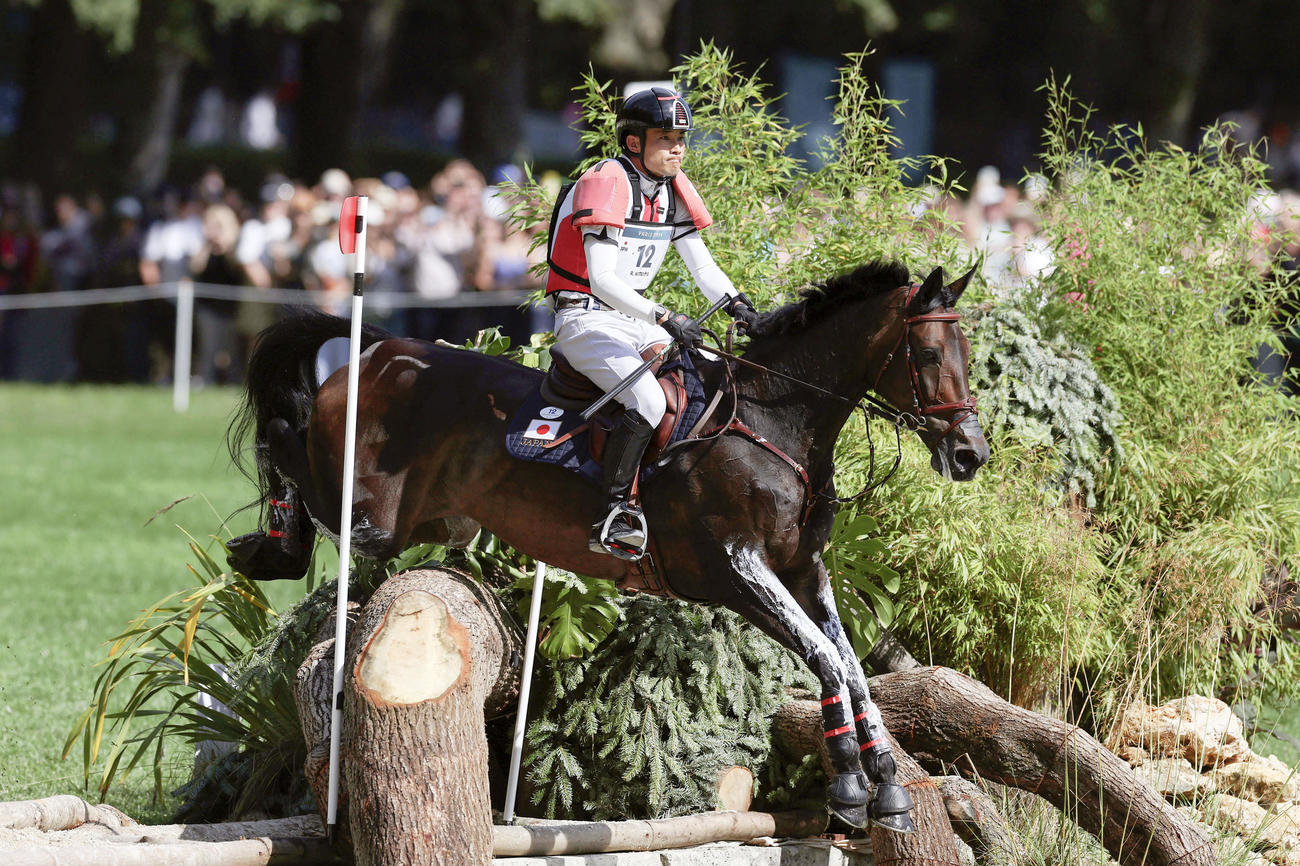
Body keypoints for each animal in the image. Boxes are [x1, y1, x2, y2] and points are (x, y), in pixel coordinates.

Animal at [225, 259, 990, 832]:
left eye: (968, 355)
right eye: (927, 354)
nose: (970, 455)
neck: (776, 422)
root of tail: (383, 350)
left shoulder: (805, 571)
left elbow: (852, 667)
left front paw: (887, 785)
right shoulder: (736, 571)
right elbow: (829, 661)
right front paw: (853, 791)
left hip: (424, 523)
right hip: (370, 512)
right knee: (286, 437)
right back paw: (269, 543)